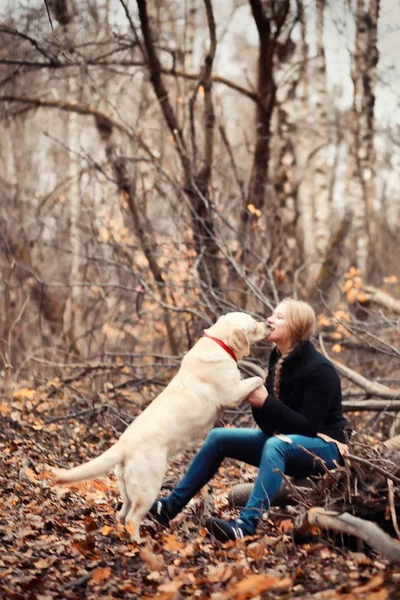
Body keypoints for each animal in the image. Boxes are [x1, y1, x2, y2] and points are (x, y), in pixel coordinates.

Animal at [52, 312, 266, 540]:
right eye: (254, 325)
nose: (268, 325)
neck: (218, 342)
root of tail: (122, 445)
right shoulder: (232, 394)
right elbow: (256, 379)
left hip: (128, 489)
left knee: (122, 514)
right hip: (148, 487)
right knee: (131, 518)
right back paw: (139, 542)